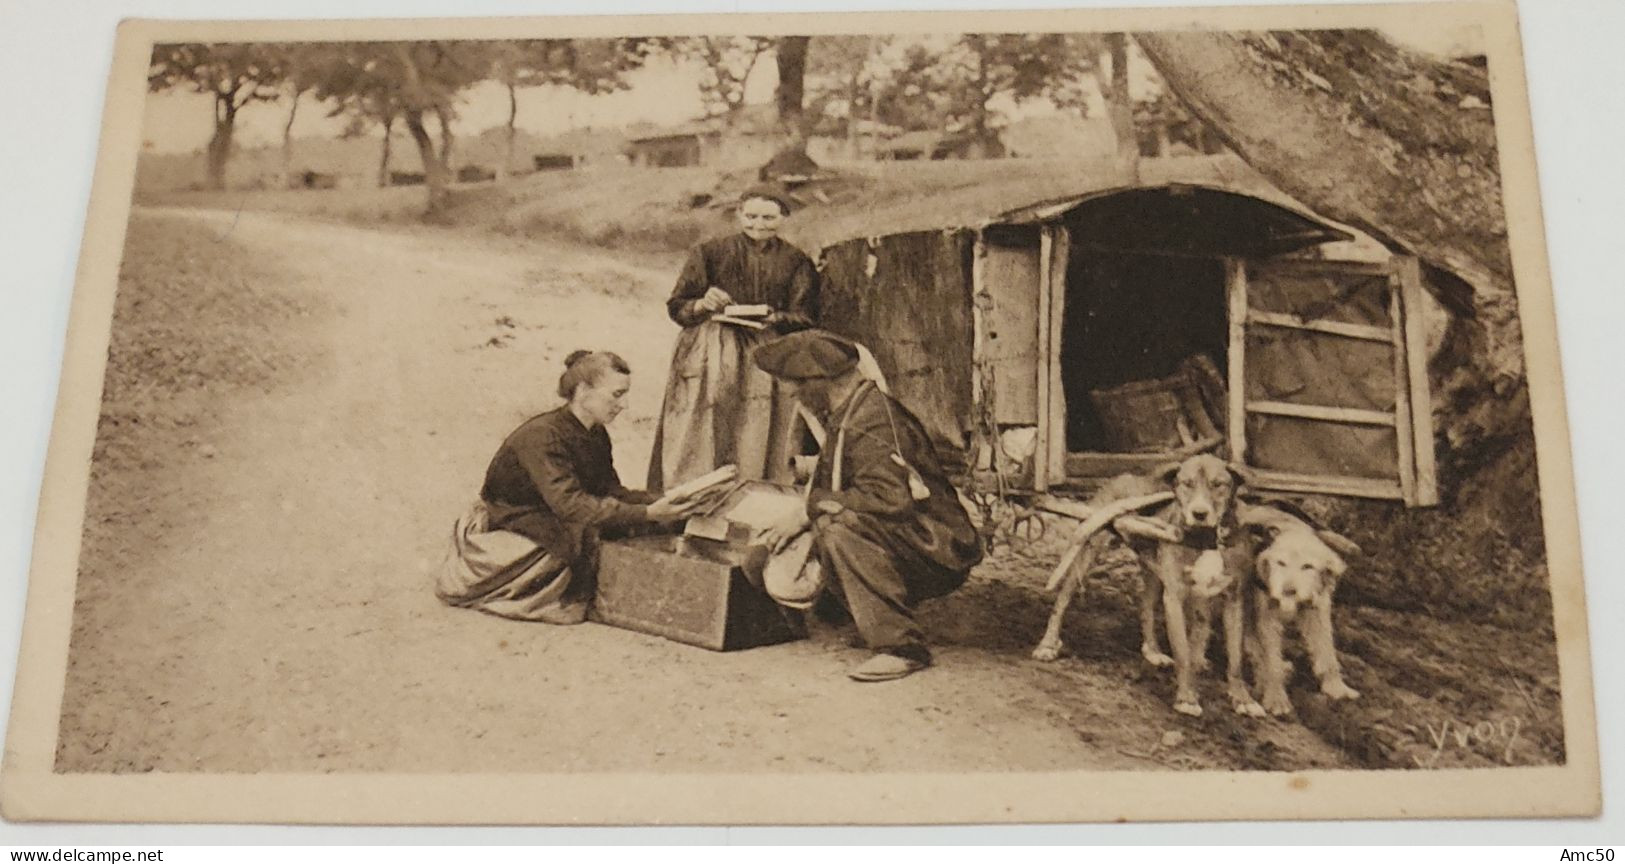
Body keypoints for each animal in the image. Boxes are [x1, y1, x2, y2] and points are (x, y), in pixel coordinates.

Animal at [1027, 454, 1267, 717]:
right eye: (1187, 483)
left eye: (1218, 484)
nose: (1199, 513)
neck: (1207, 539)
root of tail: (1122, 475)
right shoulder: (1175, 597)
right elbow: (1183, 653)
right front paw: (1186, 696)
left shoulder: (1234, 599)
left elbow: (1234, 659)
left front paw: (1242, 698)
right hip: (1088, 550)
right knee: (1062, 599)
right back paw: (1048, 644)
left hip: (1153, 570)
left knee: (1147, 605)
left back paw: (1152, 649)